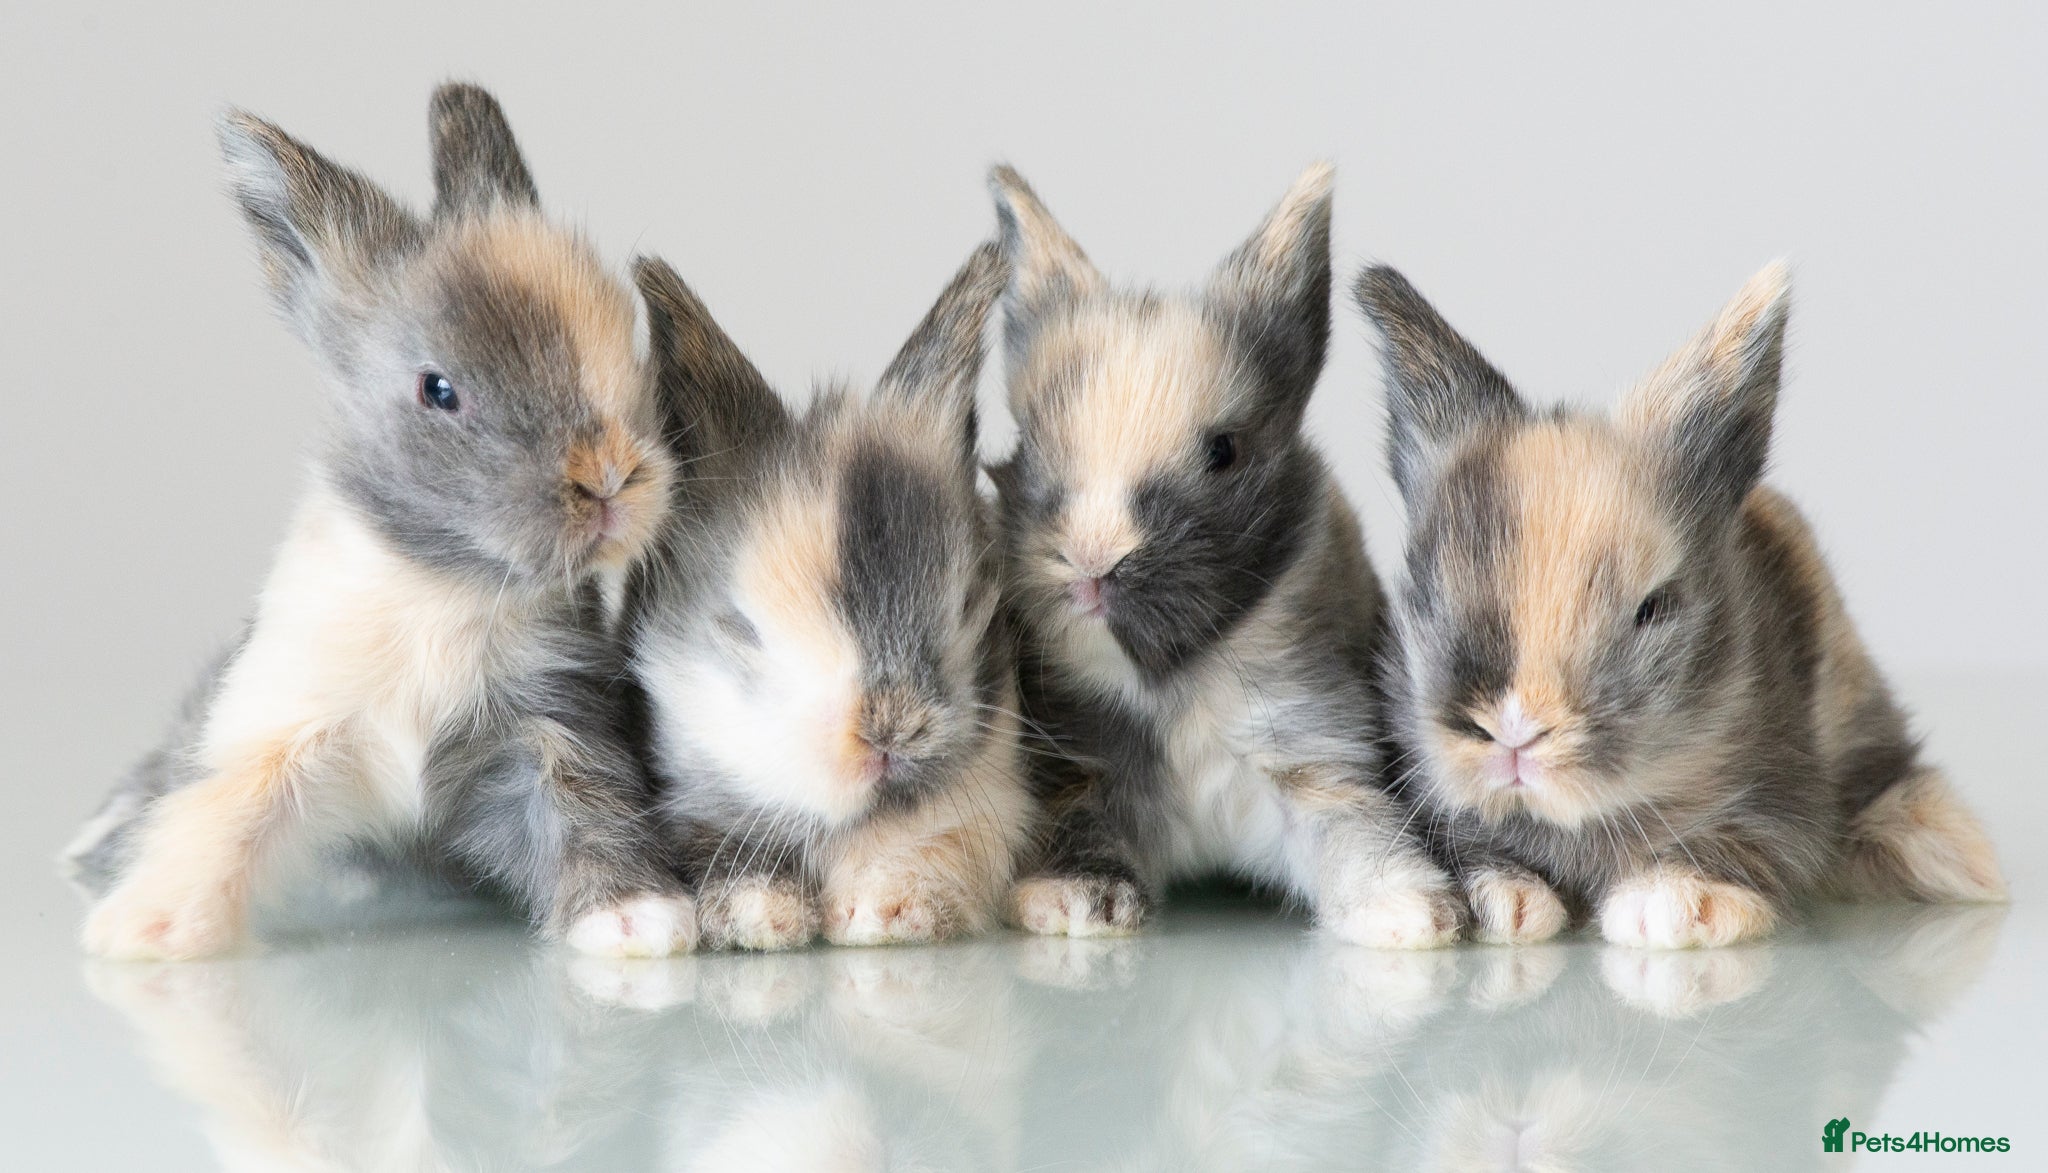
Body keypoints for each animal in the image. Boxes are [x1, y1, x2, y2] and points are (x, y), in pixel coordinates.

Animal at [63, 84, 694, 960]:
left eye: (630, 349)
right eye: (439, 389)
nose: (607, 477)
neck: (442, 590)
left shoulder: (550, 726)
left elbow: (584, 803)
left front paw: (637, 919)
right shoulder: (279, 726)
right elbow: (220, 812)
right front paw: (147, 926)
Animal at [985, 163, 1463, 949]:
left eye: (1223, 452)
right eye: (1027, 445)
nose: (1091, 564)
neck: (1175, 683)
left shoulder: (1314, 757)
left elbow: (1359, 835)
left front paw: (1413, 915)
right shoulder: (1080, 773)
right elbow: (1082, 832)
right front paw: (1073, 902)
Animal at [1352, 261, 2007, 949]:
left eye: (1655, 606)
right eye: (1425, 594)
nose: (1513, 733)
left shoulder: (1778, 801)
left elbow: (1739, 842)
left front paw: (1671, 907)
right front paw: (1505, 904)